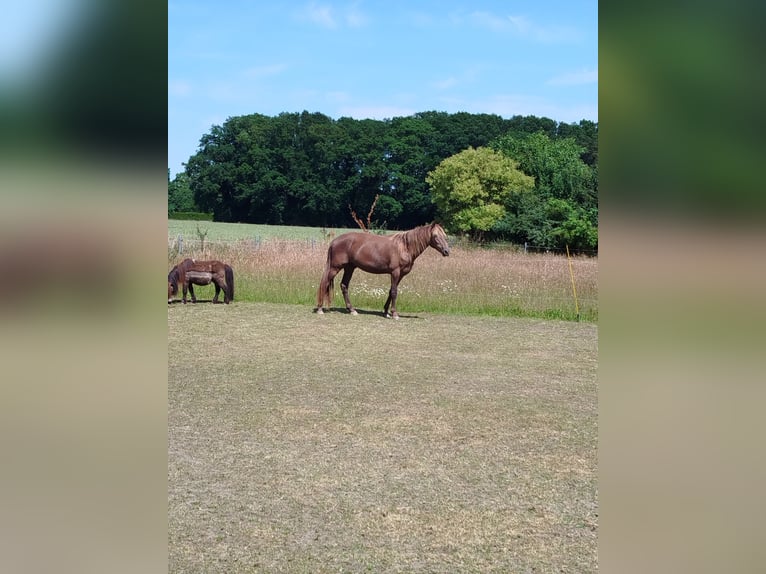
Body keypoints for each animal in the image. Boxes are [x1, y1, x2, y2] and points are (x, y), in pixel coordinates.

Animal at [315, 222, 450, 319]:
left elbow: (391, 291)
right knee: (325, 283)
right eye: (435, 236)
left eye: (445, 236)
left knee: (344, 285)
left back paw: (352, 310)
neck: (404, 247)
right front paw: (394, 314)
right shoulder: (395, 272)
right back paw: (320, 309)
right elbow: (394, 292)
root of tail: (334, 242)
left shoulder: (400, 275)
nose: (447, 251)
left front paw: (386, 312)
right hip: (335, 267)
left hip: (349, 268)